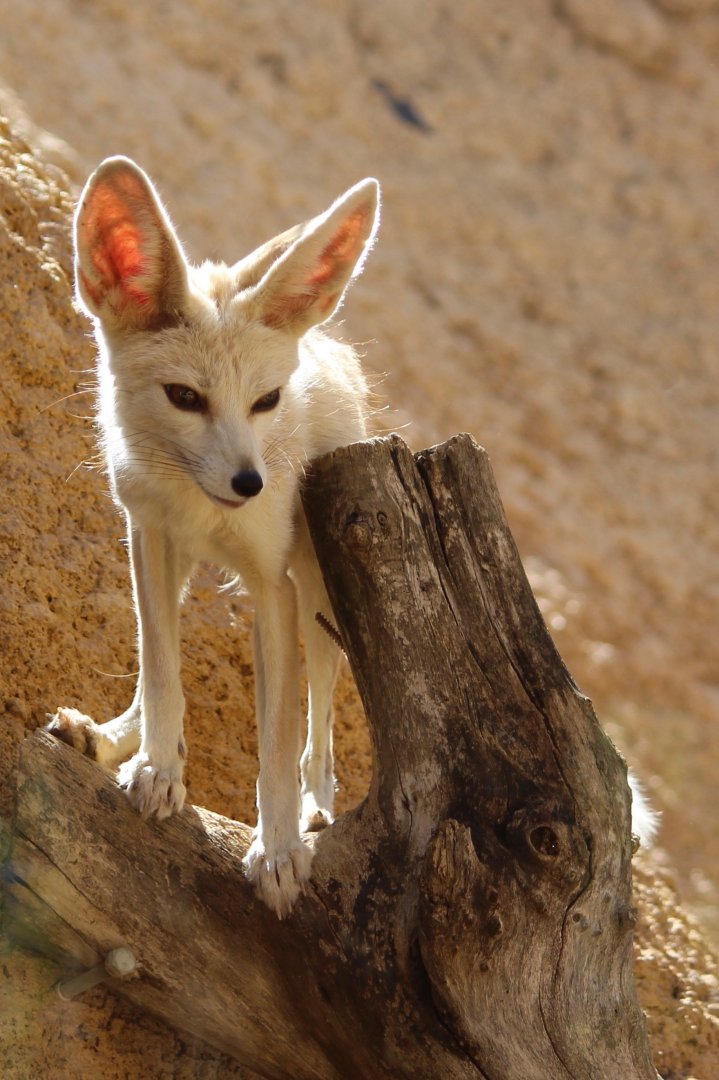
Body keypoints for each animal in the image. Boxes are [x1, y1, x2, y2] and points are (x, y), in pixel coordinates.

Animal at [48, 156, 380, 918]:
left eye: (266, 402)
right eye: (184, 397)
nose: (250, 482)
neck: (200, 509)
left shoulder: (272, 585)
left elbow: (278, 734)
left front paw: (279, 848)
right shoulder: (148, 536)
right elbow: (161, 668)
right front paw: (156, 766)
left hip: (320, 594)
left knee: (320, 722)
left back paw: (315, 807)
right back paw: (115, 739)